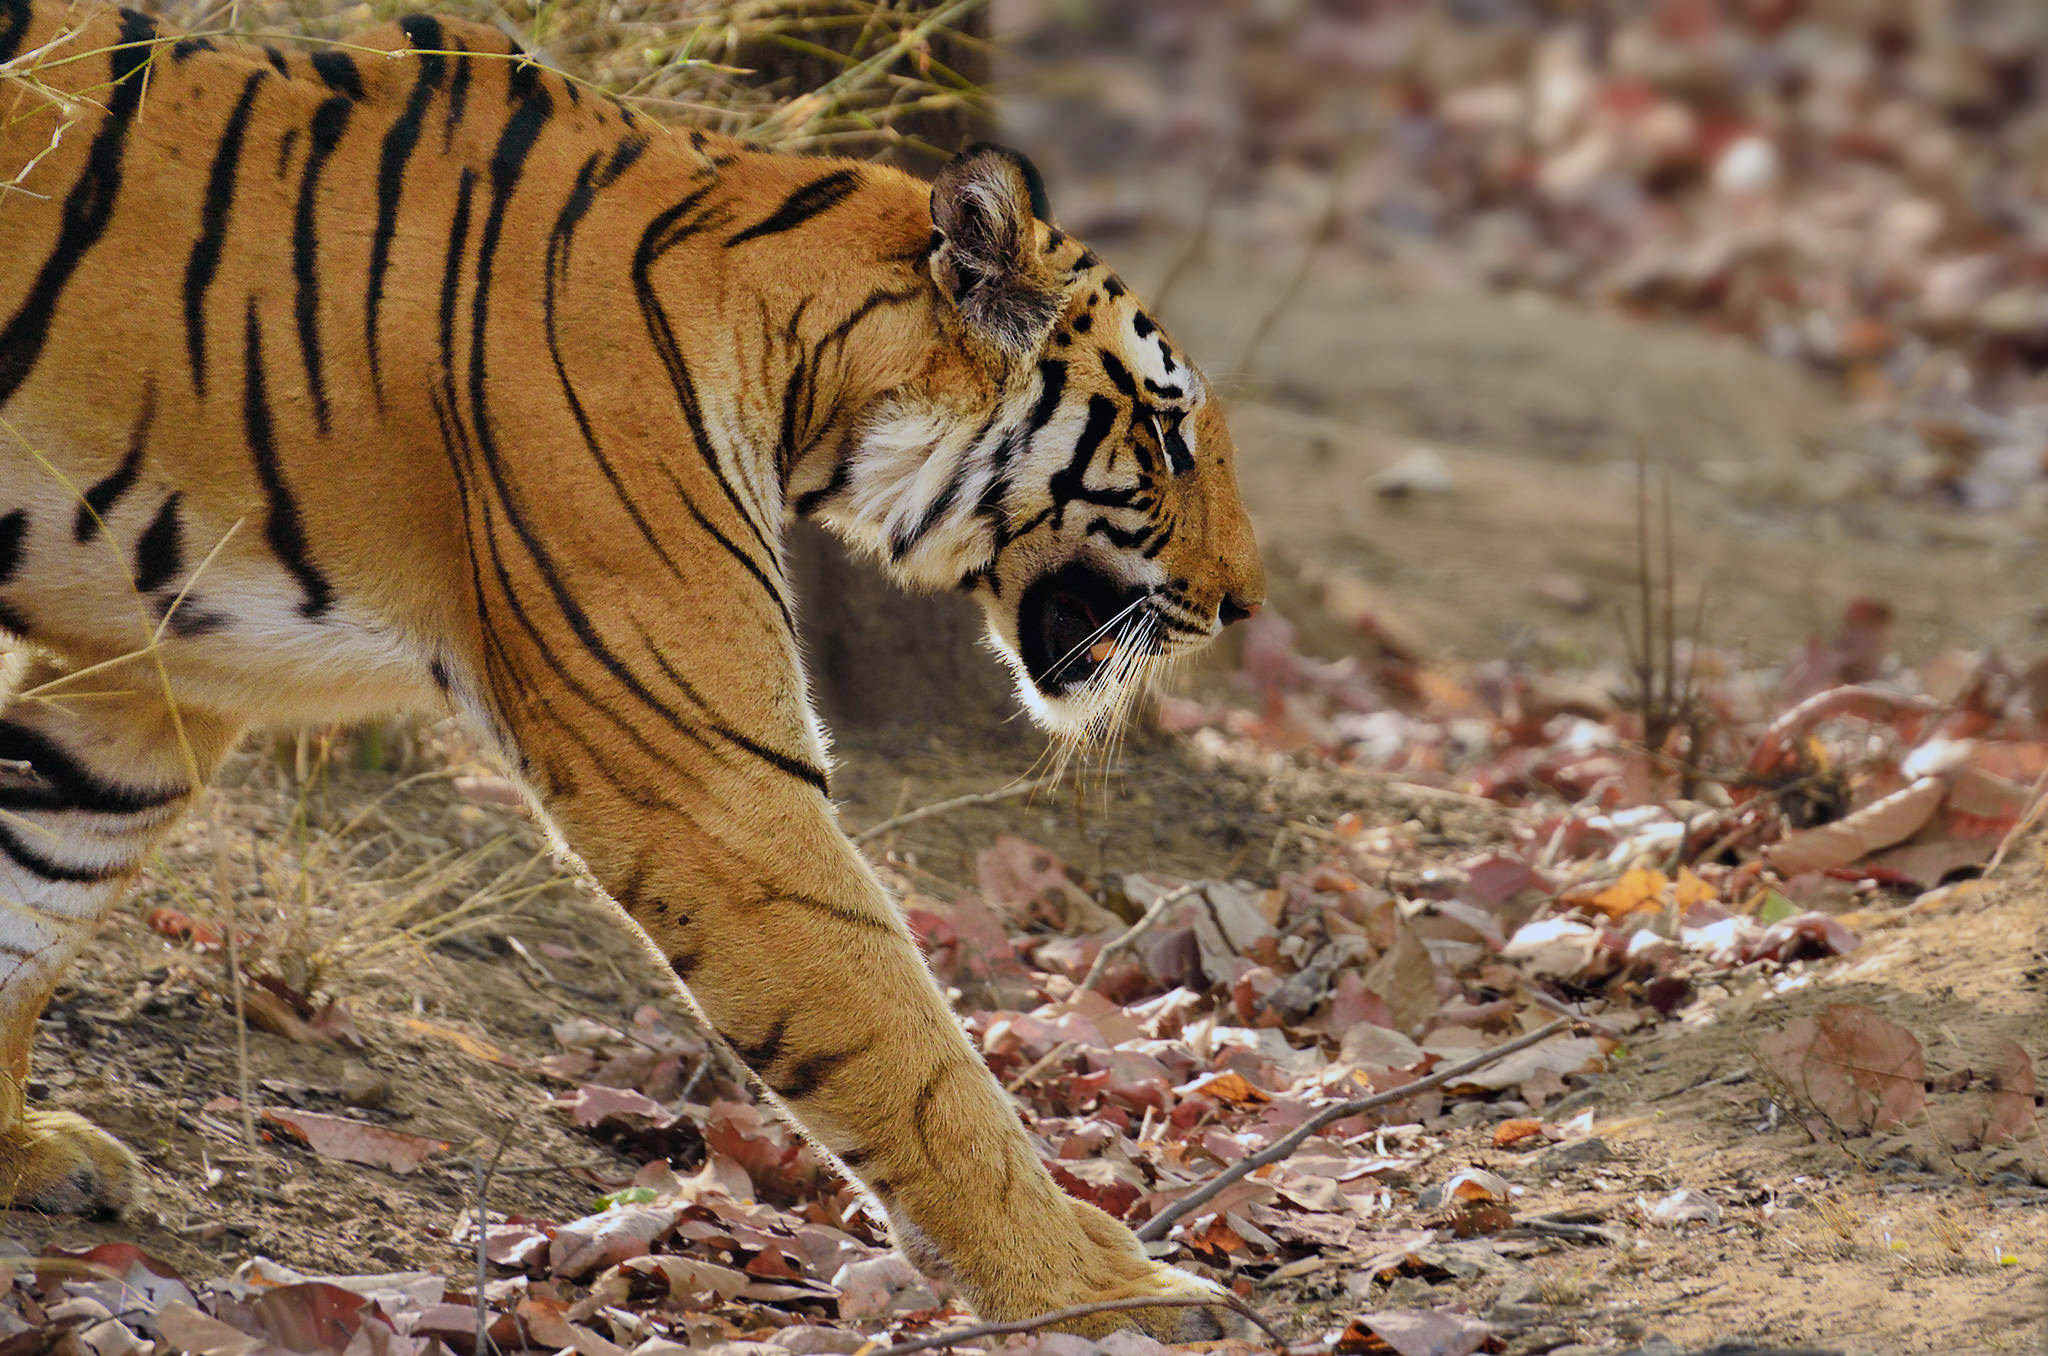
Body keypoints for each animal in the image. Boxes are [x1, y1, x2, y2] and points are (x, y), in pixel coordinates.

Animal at [0, 0, 1261, 1335]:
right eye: (1166, 434)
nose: (1246, 602)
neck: (800, 356)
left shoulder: (149, 681)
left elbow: (33, 893)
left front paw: (20, 1153)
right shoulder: (708, 775)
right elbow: (910, 1051)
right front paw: (1107, 1291)